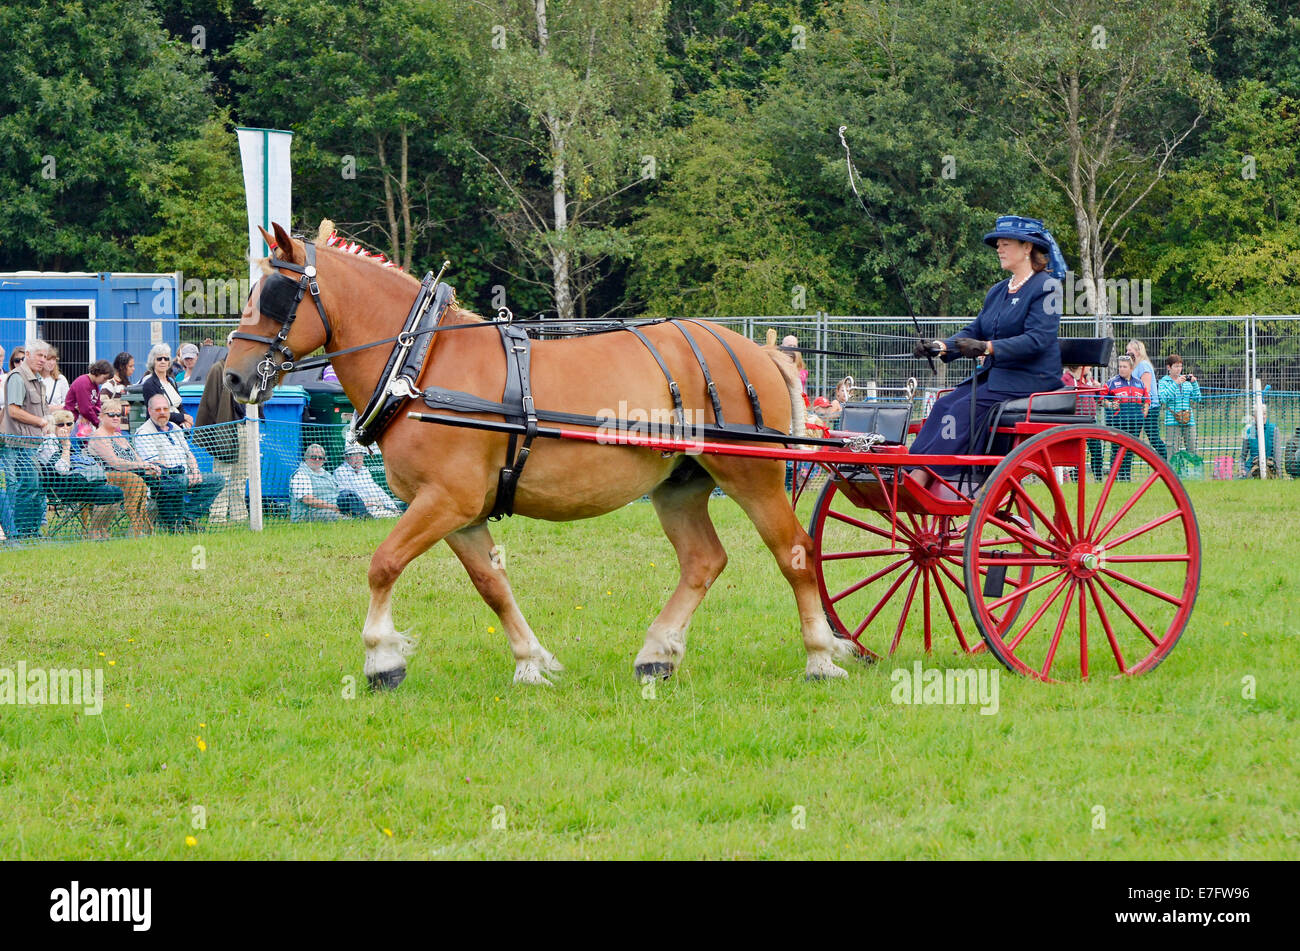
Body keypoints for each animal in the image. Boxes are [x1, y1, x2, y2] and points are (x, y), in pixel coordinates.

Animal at [224, 221, 859, 687]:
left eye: (273, 295)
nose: (232, 378)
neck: (419, 361)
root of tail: (758, 351)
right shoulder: (461, 514)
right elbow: (492, 586)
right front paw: (531, 662)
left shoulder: (445, 501)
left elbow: (383, 564)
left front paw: (382, 658)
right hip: (679, 484)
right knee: (704, 561)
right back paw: (658, 652)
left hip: (752, 476)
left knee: (796, 552)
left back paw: (820, 656)